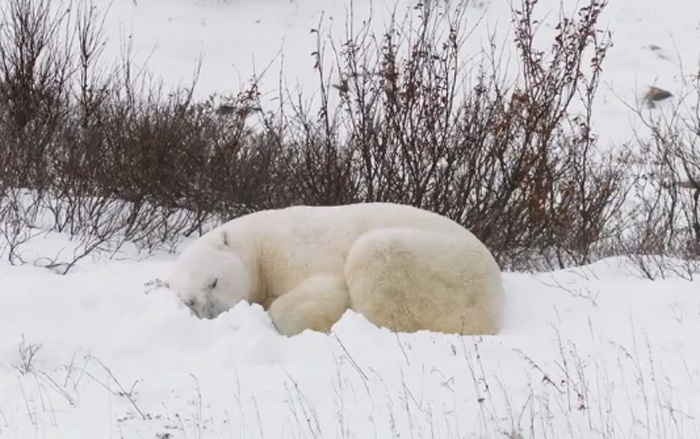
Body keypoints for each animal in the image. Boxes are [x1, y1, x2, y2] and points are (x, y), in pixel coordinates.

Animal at [164, 203, 504, 336]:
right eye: (190, 301)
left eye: (214, 281)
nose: (215, 315)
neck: (260, 247)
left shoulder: (296, 254)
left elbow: (321, 288)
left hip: (439, 267)